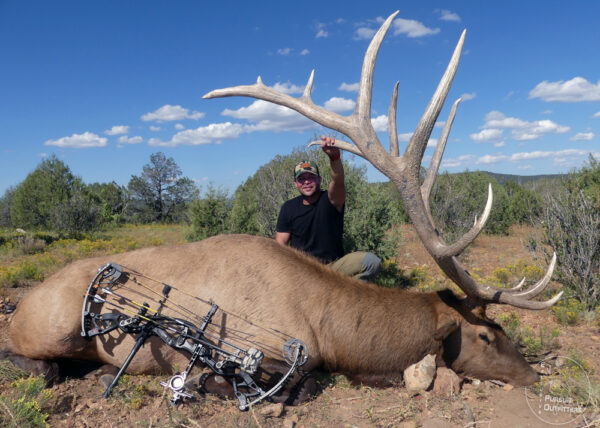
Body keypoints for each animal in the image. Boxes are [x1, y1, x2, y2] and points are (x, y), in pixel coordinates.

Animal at [4, 10, 560, 404]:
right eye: (486, 334)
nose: (533, 375)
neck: (330, 330)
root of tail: (23, 301)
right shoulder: (269, 353)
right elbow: (301, 382)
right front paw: (204, 386)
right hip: (53, 327)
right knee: (28, 356)